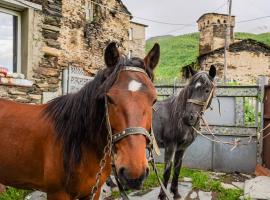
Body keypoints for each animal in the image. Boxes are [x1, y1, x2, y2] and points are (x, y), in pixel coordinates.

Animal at [0, 41, 160, 198]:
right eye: (109, 98)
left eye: (154, 100)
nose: (134, 173)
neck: (79, 142)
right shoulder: (57, 193)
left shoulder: (93, 191)